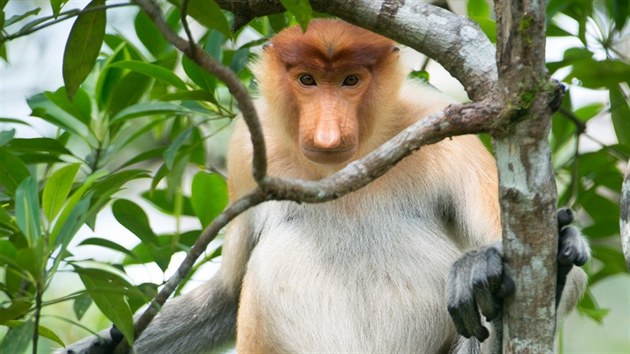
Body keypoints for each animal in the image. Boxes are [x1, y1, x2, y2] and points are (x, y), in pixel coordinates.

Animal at [61, 18, 592, 354]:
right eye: (308, 80)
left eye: (351, 80)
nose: (328, 135)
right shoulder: (247, 149)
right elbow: (228, 294)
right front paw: (94, 347)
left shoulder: (443, 129)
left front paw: (511, 264)